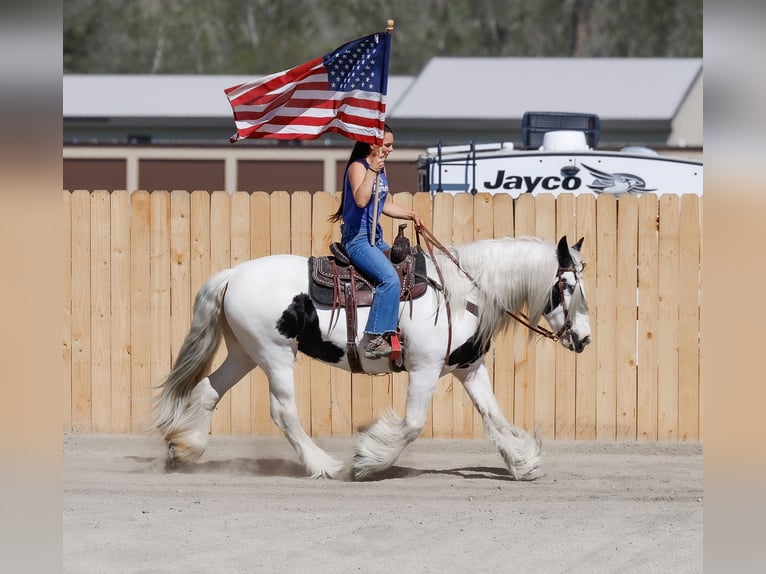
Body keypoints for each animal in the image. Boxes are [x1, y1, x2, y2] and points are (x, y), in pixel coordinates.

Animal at [152, 234, 592, 482]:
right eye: (567, 285)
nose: (585, 339)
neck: (461, 292)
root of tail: (232, 275)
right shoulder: (425, 369)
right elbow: (412, 425)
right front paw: (367, 460)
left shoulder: (469, 369)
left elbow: (495, 417)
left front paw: (524, 463)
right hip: (274, 354)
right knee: (284, 412)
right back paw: (324, 466)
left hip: (244, 353)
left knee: (209, 391)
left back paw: (184, 449)